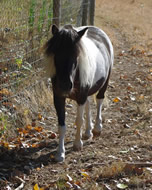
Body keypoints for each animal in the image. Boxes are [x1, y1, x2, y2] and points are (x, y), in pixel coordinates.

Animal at [44, 24, 113, 162]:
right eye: (56, 54)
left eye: (76, 56)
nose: (65, 85)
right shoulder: (58, 98)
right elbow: (61, 125)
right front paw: (60, 153)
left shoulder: (81, 96)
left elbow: (79, 120)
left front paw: (77, 144)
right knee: (88, 104)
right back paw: (87, 132)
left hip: (104, 82)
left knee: (99, 100)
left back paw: (97, 129)